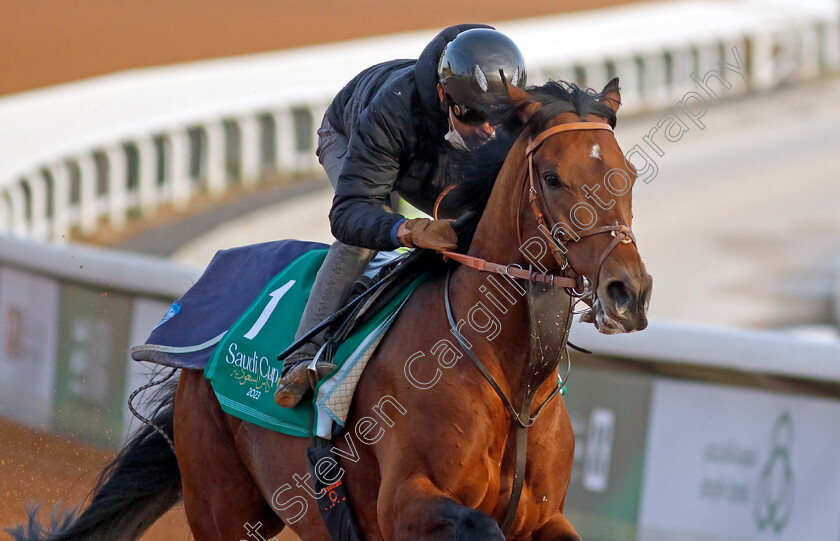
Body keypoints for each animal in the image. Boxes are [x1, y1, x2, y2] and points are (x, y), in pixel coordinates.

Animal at [11, 77, 648, 540]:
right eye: (553, 177)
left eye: (628, 174)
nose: (628, 291)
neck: (508, 377)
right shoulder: (405, 504)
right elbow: (474, 526)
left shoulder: (545, 517)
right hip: (223, 506)